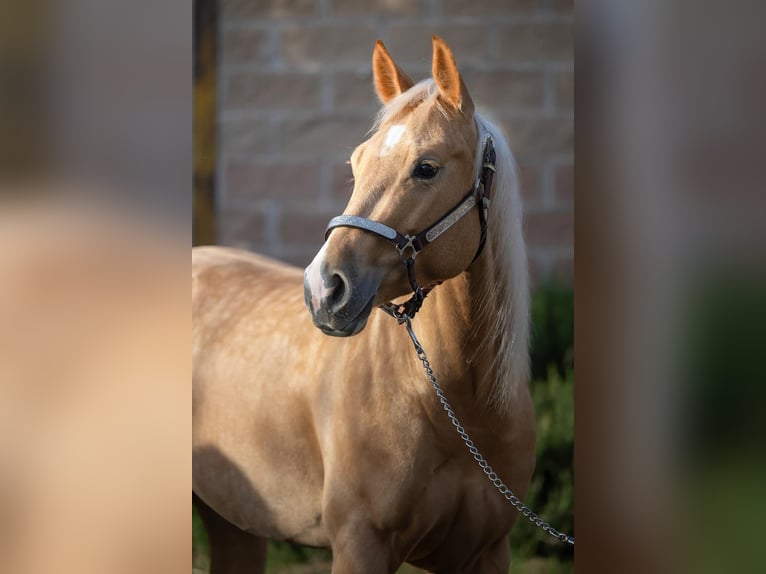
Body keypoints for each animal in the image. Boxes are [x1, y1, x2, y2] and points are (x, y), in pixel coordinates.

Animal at [194, 37, 536, 574]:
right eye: (356, 163)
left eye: (426, 168)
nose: (323, 289)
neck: (459, 411)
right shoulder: (360, 545)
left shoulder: (487, 553)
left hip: (233, 521)